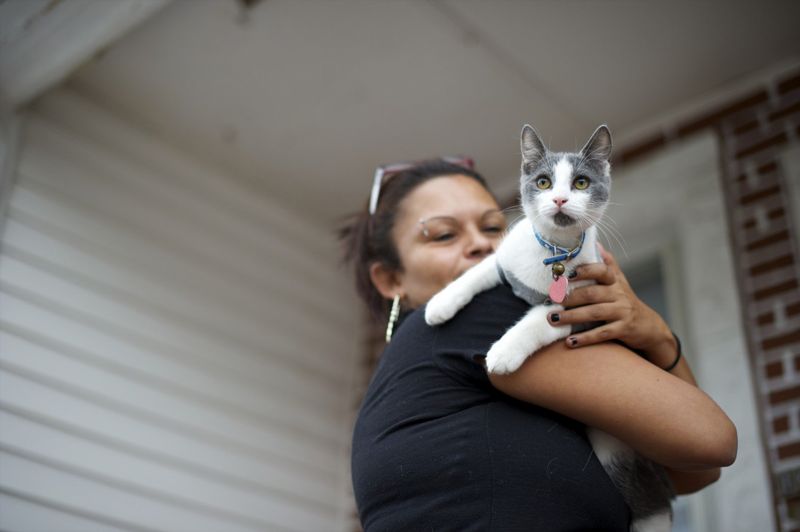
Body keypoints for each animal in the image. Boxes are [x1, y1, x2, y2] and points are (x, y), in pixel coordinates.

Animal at [424, 125, 676, 532]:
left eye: (580, 182)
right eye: (543, 182)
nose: (559, 198)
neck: (554, 256)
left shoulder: (585, 304)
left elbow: (543, 319)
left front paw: (504, 352)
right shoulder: (508, 259)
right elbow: (483, 268)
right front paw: (440, 304)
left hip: (617, 452)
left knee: (648, 501)